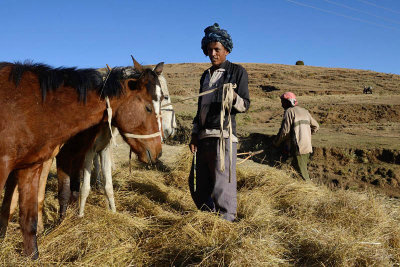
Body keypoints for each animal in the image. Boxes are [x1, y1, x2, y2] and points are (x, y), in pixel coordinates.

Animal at [0, 59, 163, 260]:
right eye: (148, 108)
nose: (158, 152)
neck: (33, 107)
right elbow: (66, 191)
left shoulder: (32, 166)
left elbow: (30, 217)